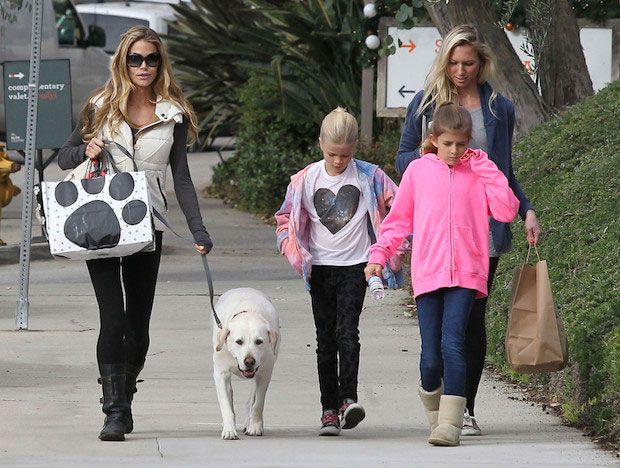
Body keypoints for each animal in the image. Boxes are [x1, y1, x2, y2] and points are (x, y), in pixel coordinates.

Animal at [213, 288, 280, 440]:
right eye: (239, 341)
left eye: (259, 341)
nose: (249, 362)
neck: (250, 312)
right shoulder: (221, 374)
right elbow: (226, 405)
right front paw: (229, 430)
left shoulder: (264, 374)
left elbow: (258, 403)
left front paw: (255, 427)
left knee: (251, 400)